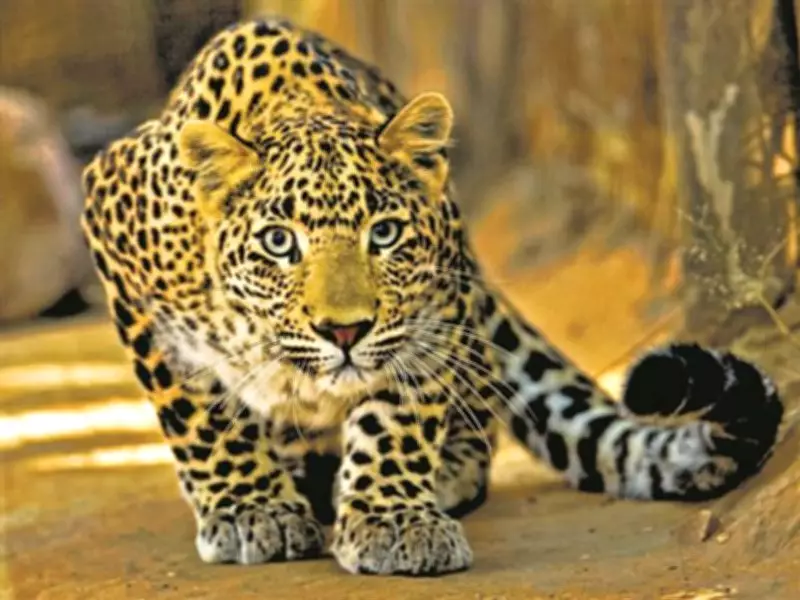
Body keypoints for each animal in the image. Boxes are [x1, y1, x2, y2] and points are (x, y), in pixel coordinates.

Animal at [81, 17, 784, 576]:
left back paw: (436, 472)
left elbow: (397, 415)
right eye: (279, 243)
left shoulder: (432, 310)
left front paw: (392, 519)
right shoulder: (114, 231)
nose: (344, 332)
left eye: (385, 234)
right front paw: (252, 509)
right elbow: (200, 413)